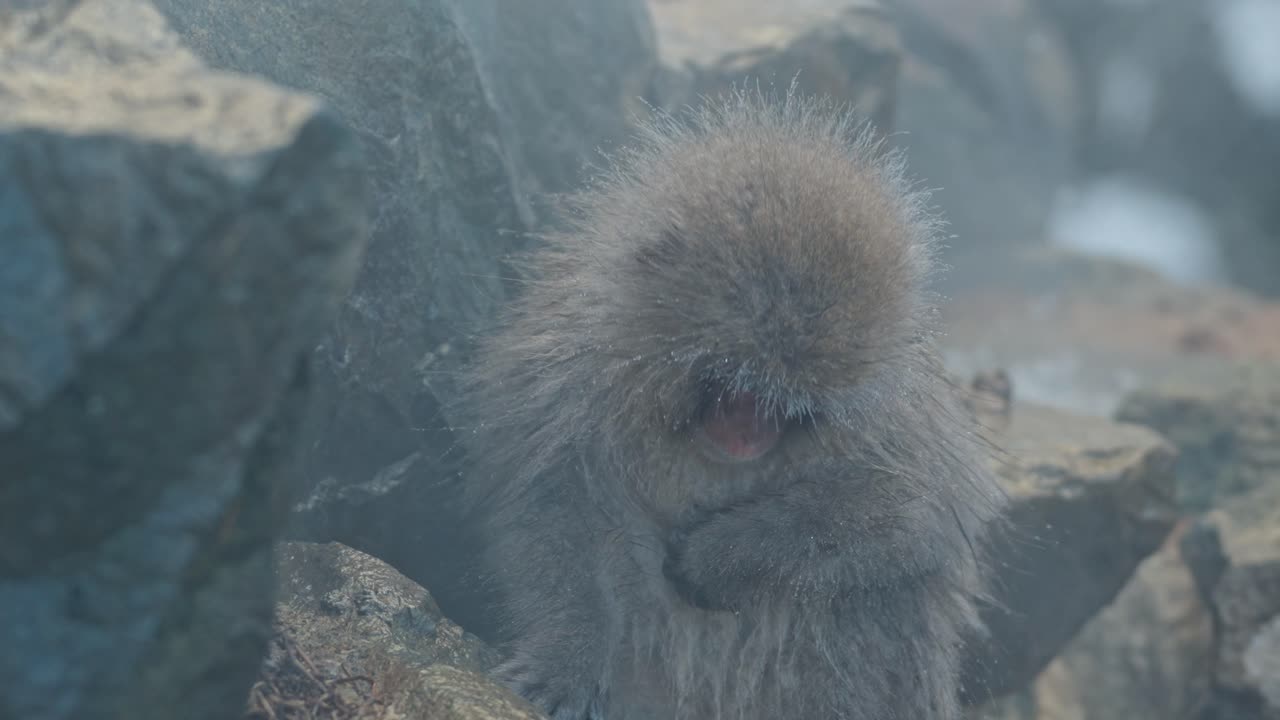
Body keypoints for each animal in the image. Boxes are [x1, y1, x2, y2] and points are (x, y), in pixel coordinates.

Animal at [460, 87, 1007, 720]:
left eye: (792, 407)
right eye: (734, 381)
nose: (747, 436)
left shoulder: (889, 408)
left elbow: (920, 514)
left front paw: (720, 558)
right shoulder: (563, 376)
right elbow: (551, 504)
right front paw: (565, 655)